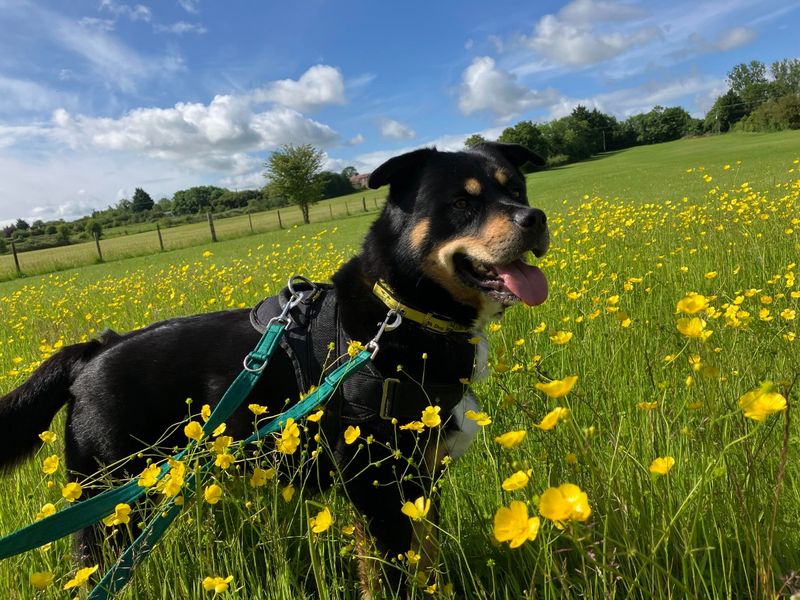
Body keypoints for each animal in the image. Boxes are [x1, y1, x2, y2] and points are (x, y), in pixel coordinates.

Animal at [0, 141, 552, 596]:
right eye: (462, 203)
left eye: (516, 187)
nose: (536, 216)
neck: (397, 313)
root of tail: (93, 351)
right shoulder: (377, 489)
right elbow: (394, 575)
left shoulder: (420, 483)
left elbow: (426, 560)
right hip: (111, 504)